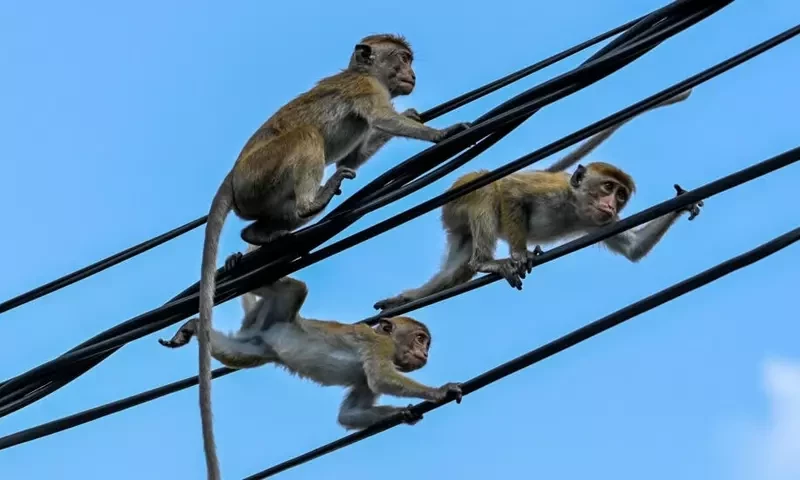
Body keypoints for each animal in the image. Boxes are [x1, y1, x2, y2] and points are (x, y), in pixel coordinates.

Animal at [196, 34, 469, 479]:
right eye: (403, 59)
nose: (412, 75)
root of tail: (233, 176)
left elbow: (356, 153)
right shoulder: (366, 90)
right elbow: (383, 119)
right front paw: (440, 132)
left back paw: (258, 238)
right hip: (260, 175)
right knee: (307, 135)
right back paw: (310, 205)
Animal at [373, 161, 703, 311]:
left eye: (621, 195)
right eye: (608, 188)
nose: (611, 204)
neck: (574, 204)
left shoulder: (600, 222)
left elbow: (633, 248)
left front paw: (683, 202)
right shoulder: (552, 190)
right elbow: (509, 191)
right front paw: (520, 254)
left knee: (459, 267)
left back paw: (411, 297)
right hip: (461, 194)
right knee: (486, 189)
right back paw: (485, 262)